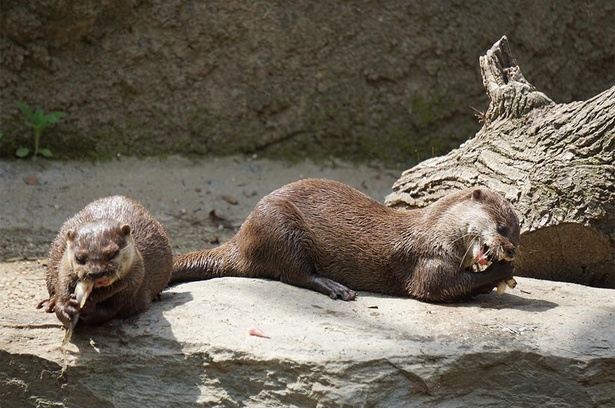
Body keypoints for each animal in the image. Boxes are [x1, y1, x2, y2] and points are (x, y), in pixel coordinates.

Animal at [170, 179, 520, 302]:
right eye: (501, 227)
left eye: (517, 232)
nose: (511, 249)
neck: (436, 231)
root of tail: (242, 236)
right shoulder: (425, 261)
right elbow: (436, 288)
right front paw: (501, 272)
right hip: (282, 226)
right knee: (294, 273)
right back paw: (336, 288)